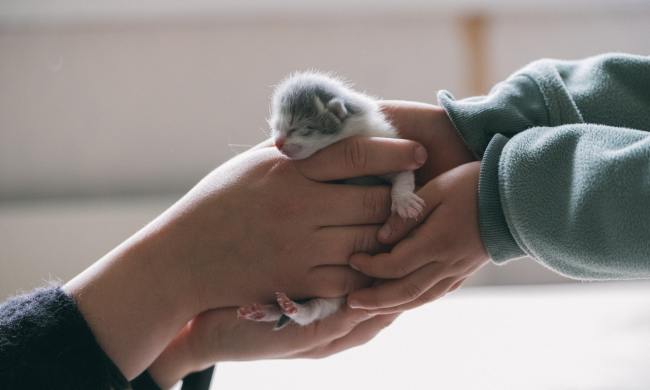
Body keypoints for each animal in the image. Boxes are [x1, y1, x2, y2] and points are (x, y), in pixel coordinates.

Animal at [235, 71, 422, 330]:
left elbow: (402, 173)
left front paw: (404, 201)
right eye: (276, 127)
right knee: (314, 310)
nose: (278, 143)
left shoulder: (383, 143)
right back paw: (274, 310)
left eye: (299, 127)